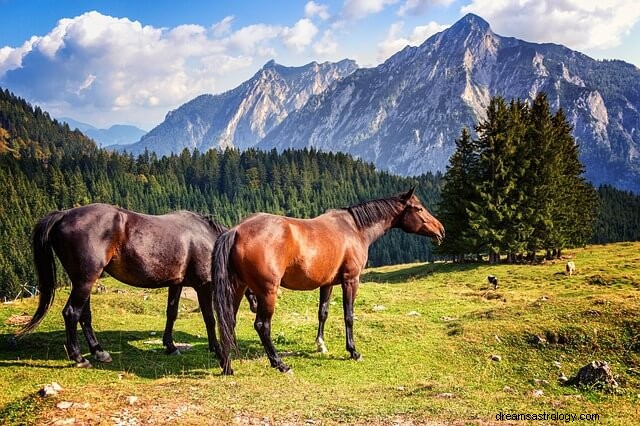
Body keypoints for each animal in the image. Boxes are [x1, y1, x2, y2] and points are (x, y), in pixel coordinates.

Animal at [16, 202, 254, 366]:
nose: (255, 307)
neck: (207, 237)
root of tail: (63, 215)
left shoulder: (176, 283)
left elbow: (172, 313)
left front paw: (170, 346)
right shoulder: (203, 285)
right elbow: (209, 319)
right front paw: (216, 349)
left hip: (83, 281)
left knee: (84, 316)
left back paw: (98, 351)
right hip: (84, 280)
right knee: (71, 313)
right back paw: (79, 357)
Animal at [212, 188, 442, 374]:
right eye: (419, 208)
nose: (441, 230)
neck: (354, 229)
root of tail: (237, 230)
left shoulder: (327, 283)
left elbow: (323, 312)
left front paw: (320, 345)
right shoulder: (351, 280)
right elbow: (349, 316)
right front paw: (353, 351)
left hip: (238, 288)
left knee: (228, 321)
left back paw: (227, 366)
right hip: (267, 292)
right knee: (262, 325)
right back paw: (279, 364)